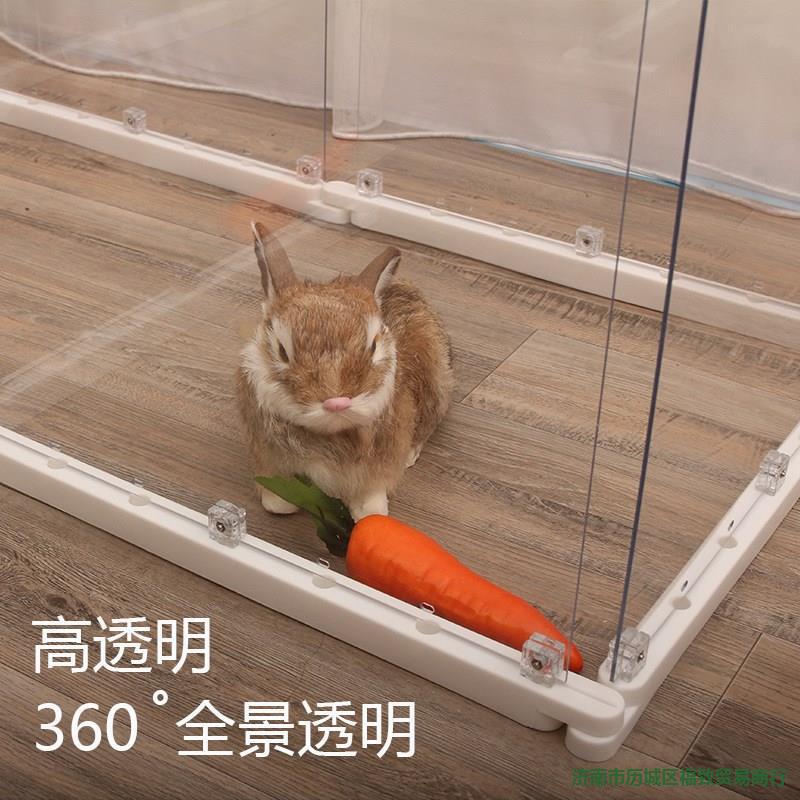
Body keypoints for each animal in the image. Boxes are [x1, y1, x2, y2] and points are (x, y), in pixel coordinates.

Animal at [236, 222, 454, 521]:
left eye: (373, 346)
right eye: (282, 350)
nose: (336, 402)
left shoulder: (377, 468)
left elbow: (371, 497)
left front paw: (369, 513)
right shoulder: (267, 456)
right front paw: (280, 503)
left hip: (436, 388)